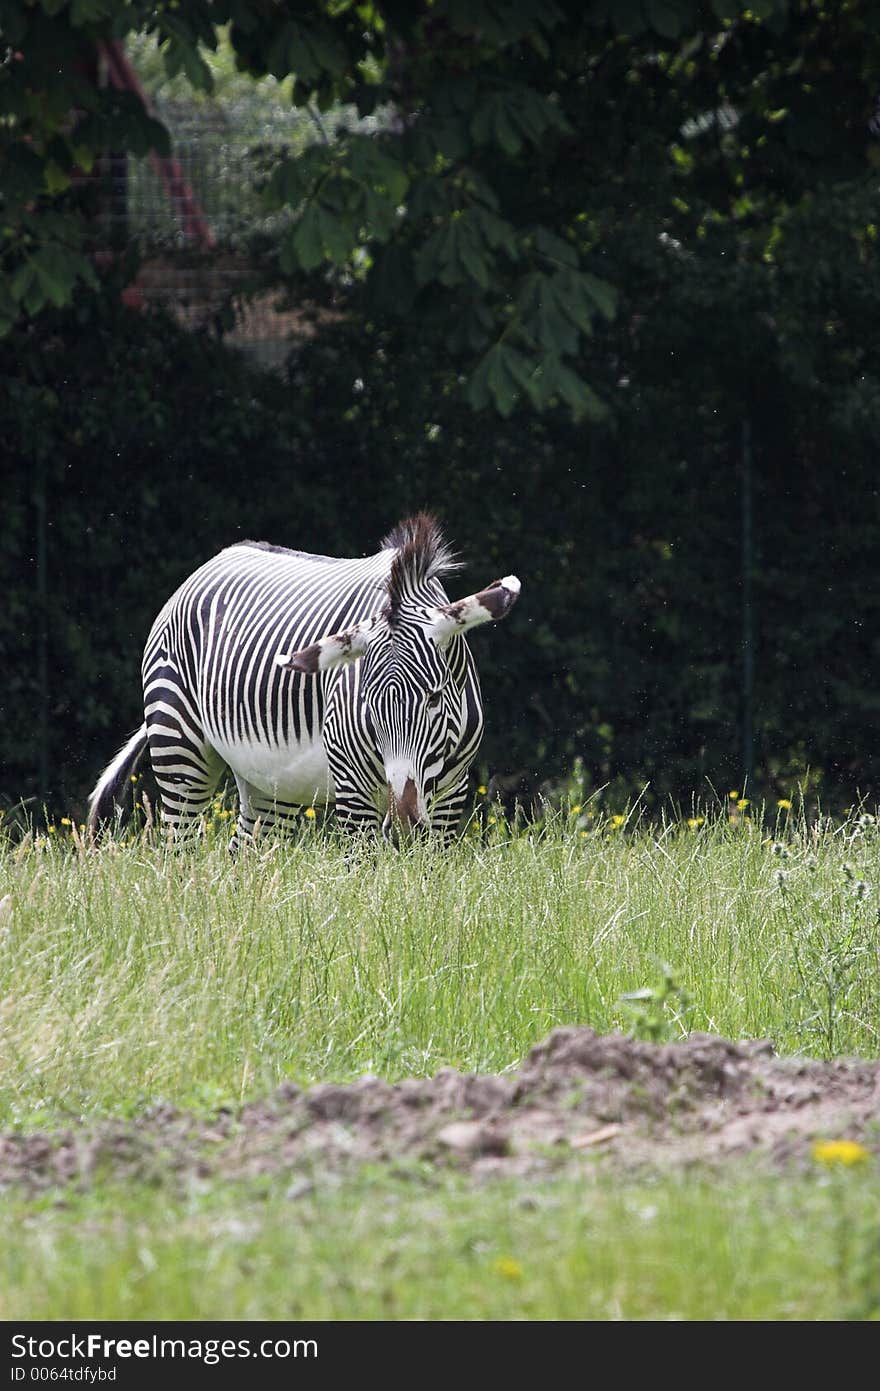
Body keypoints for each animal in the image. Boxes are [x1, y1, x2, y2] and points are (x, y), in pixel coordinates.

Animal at [86, 511, 517, 834]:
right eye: (367, 704)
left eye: (434, 698)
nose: (404, 823)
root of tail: (213, 561)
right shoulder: (353, 789)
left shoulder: (452, 792)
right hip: (178, 747)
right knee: (179, 846)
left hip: (268, 784)